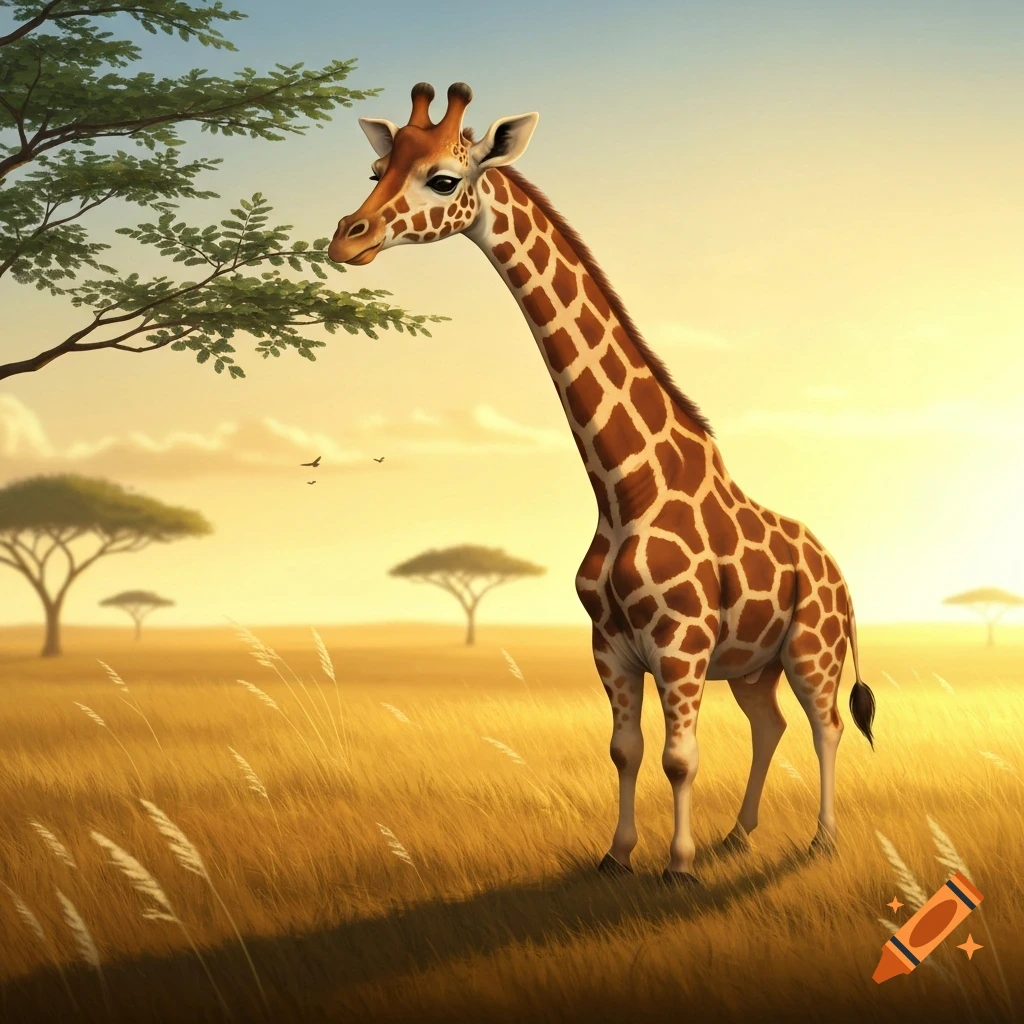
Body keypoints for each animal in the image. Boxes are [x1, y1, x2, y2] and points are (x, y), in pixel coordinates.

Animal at [327, 83, 877, 884]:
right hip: (751, 664)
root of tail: (839, 573)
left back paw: (822, 841)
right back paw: (739, 834)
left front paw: (678, 866)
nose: (347, 238)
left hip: (812, 649)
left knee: (826, 724)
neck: (625, 489)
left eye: (444, 179)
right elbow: (625, 750)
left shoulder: (680, 643)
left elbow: (680, 756)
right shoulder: (610, 646)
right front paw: (617, 855)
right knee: (770, 724)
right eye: (376, 169)